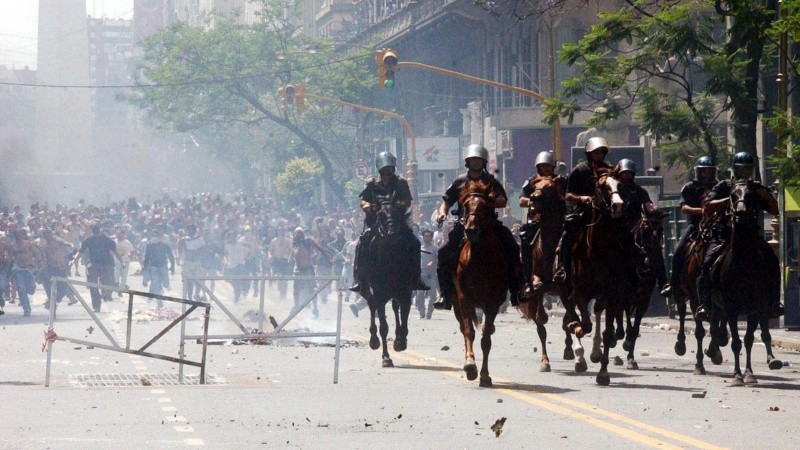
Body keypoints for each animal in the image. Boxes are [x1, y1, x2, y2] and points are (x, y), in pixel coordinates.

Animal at [360, 199, 412, 368]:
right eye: (380, 215)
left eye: (396, 213)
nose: (392, 232)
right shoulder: (380, 294)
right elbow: (383, 327)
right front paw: (386, 357)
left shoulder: (406, 292)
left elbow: (404, 323)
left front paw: (400, 342)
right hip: (367, 288)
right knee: (371, 304)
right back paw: (374, 340)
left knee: (395, 307)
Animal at [454, 179, 510, 386]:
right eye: (465, 205)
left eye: (485, 207)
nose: (470, 230)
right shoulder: (463, 299)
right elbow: (469, 331)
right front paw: (470, 366)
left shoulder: (492, 303)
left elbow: (486, 339)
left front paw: (485, 375)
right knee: (464, 328)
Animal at [520, 176, 580, 372]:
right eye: (535, 186)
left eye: (550, 188)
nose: (533, 199)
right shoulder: (537, 281)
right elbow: (541, 322)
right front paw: (545, 362)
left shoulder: (565, 289)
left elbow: (569, 320)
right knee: (543, 323)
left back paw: (569, 350)